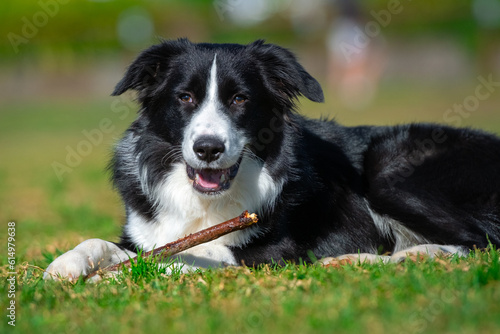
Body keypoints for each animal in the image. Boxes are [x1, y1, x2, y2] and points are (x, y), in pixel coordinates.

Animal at [44, 39, 500, 282]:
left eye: (239, 99)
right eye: (185, 97)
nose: (207, 148)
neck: (205, 200)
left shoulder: (277, 251)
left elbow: (191, 256)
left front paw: (115, 275)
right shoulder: (146, 232)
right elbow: (107, 244)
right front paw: (65, 265)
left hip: (389, 167)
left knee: (477, 241)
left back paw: (408, 256)